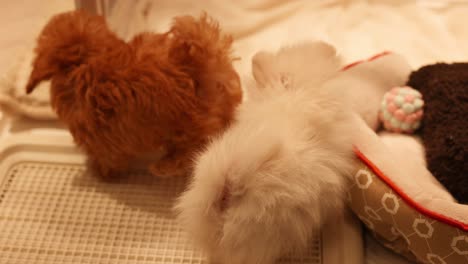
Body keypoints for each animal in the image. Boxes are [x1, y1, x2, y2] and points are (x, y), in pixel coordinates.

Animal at [26, 11, 241, 178]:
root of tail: (200, 63)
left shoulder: (99, 139)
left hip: (190, 129)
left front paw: (102, 172)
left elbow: (106, 157)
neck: (87, 59)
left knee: (190, 153)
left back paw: (162, 167)